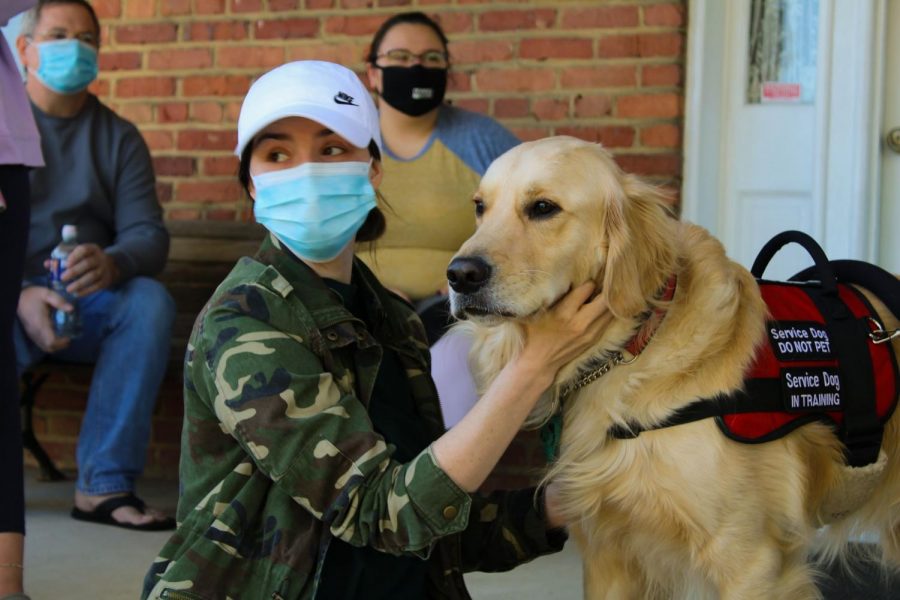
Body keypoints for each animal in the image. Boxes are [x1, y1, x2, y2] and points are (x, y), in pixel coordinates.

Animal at [444, 136, 900, 600]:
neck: (632, 349)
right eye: (480, 206)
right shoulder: (607, 551)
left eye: (542, 207)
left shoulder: (749, 559)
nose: (459, 275)